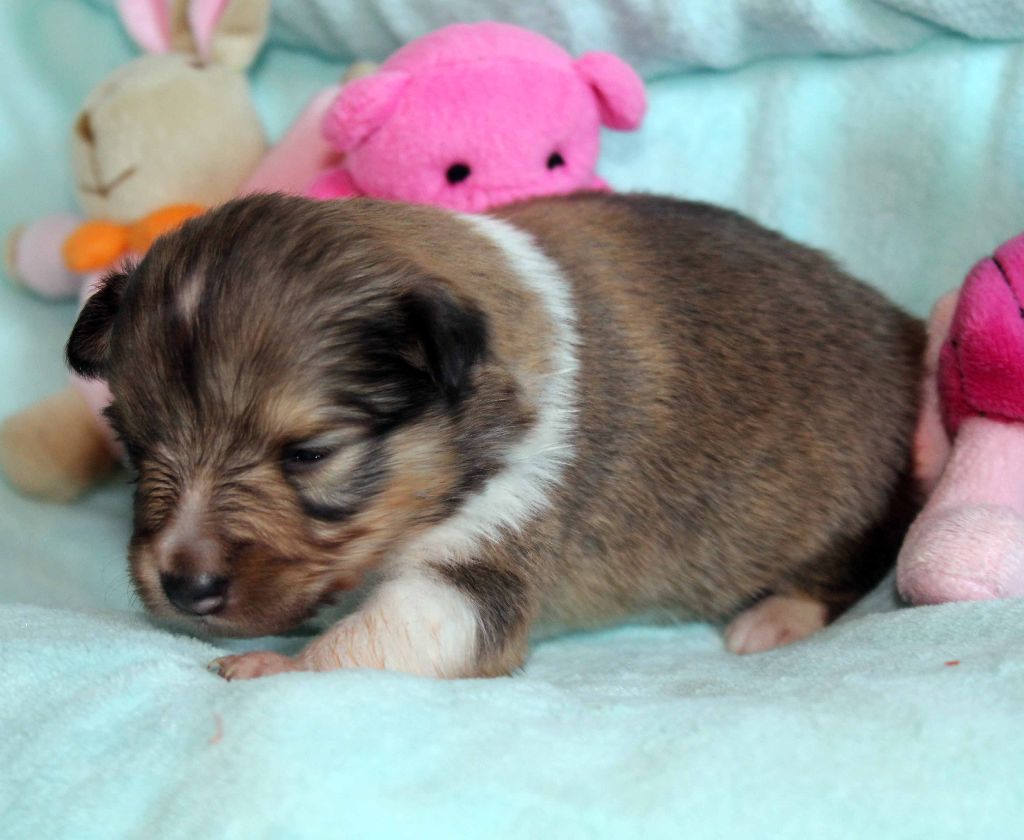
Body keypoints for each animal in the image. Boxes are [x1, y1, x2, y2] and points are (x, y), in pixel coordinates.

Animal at [66, 192, 924, 680]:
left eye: (309, 454)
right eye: (135, 446)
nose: (184, 587)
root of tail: (907, 329)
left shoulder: (485, 563)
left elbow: (368, 640)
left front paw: (270, 669)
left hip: (851, 493)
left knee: (860, 554)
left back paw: (773, 617)